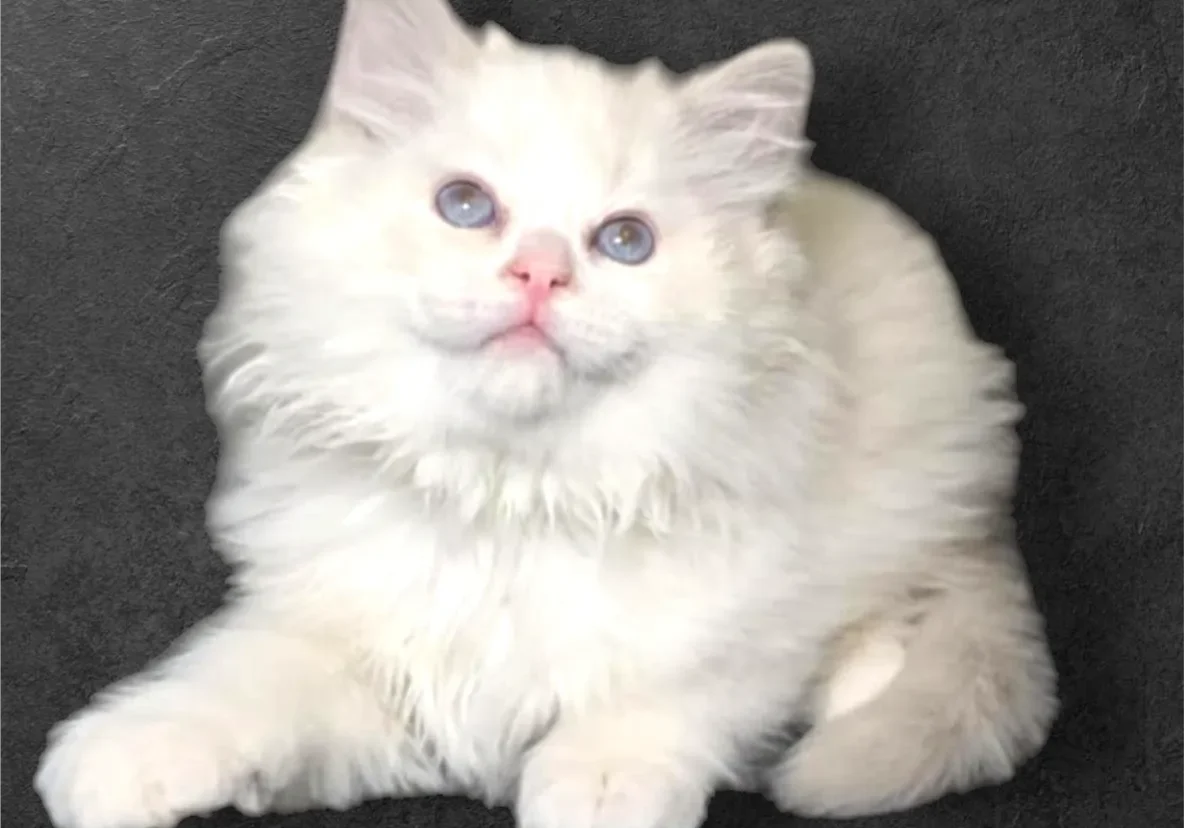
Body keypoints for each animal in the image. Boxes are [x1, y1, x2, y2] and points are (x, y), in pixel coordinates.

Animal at [34, 1, 1056, 828]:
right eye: (465, 205)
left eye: (625, 241)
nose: (539, 273)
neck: (509, 492)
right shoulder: (366, 661)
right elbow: (240, 681)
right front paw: (122, 757)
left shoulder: (749, 605)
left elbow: (670, 684)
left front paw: (598, 785)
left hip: (928, 480)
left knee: (922, 603)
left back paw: (863, 688)